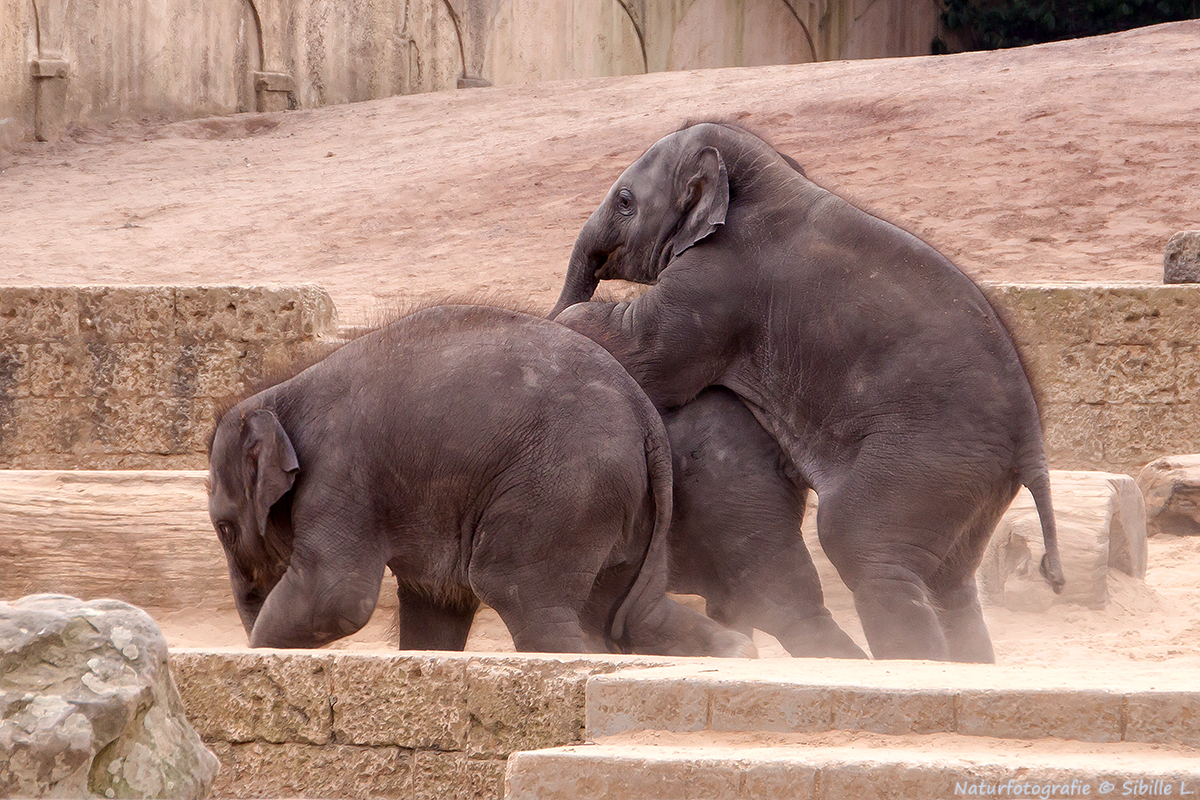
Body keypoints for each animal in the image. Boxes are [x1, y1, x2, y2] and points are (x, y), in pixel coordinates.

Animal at [205, 303, 748, 662]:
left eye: (225, 529)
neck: (282, 390)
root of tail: (647, 420)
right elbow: (435, 602)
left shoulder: (339, 475)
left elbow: (336, 596)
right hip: (623, 508)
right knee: (630, 610)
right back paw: (737, 651)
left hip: (562, 491)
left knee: (521, 592)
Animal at [549, 120, 1065, 662]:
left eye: (625, 201)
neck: (765, 175)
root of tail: (1032, 439)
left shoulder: (716, 281)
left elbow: (647, 352)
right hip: (968, 482)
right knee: (951, 585)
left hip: (928, 459)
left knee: (865, 552)